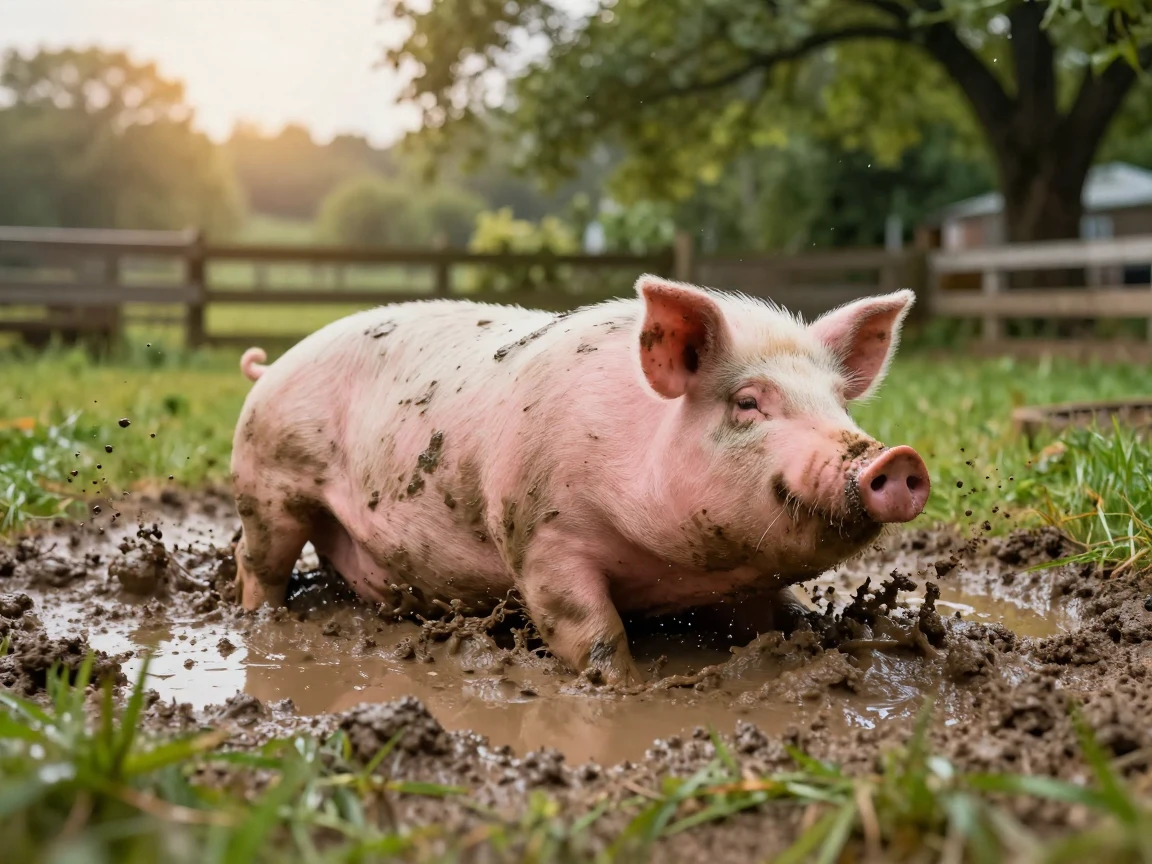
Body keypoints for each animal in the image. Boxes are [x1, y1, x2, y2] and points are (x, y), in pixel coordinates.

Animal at [230, 276, 930, 685]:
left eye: (840, 403)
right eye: (748, 402)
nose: (894, 459)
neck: (675, 570)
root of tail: (272, 368)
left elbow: (783, 616)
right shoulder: (539, 535)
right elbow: (590, 632)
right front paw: (627, 690)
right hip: (268, 481)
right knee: (258, 562)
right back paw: (263, 621)